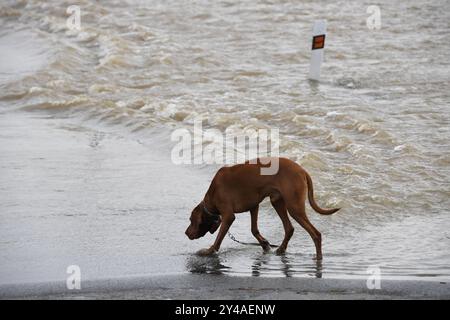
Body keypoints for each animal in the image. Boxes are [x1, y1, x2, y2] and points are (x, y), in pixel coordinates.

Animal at [185, 158, 340, 260]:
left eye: (191, 220)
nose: (186, 233)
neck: (212, 193)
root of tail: (302, 170)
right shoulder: (254, 206)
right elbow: (254, 229)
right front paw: (265, 244)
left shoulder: (229, 216)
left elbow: (219, 238)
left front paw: (210, 251)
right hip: (277, 201)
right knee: (289, 228)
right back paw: (281, 249)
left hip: (294, 207)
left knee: (315, 234)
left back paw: (318, 257)